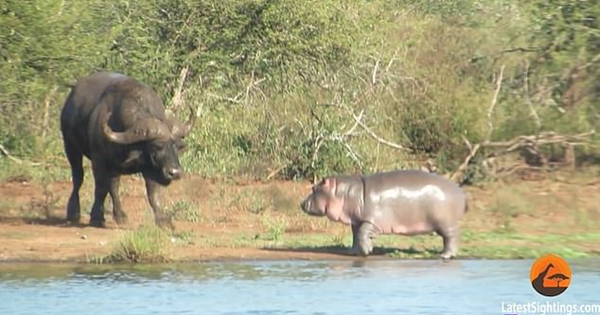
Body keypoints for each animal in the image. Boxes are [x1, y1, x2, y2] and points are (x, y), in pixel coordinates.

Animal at [58, 72, 196, 228]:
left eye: (177, 147)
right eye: (157, 146)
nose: (175, 173)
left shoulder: (150, 168)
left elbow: (153, 193)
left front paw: (163, 220)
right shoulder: (99, 160)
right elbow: (100, 188)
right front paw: (97, 217)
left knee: (113, 186)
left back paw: (120, 215)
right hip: (70, 146)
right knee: (78, 178)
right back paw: (73, 213)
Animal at [300, 170, 468, 260]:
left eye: (315, 189)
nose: (302, 204)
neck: (348, 193)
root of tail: (460, 191)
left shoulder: (372, 222)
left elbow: (362, 234)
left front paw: (367, 251)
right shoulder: (357, 221)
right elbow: (355, 236)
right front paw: (353, 252)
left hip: (446, 223)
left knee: (451, 238)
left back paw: (444, 256)